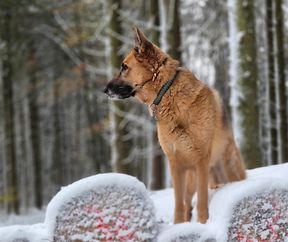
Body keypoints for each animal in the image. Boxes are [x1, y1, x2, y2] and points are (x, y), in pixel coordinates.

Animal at [103, 26, 245, 223]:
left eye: (124, 67)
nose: (104, 90)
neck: (168, 92)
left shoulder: (201, 161)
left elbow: (202, 203)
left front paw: (203, 223)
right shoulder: (175, 164)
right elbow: (179, 205)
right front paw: (180, 225)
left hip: (226, 169)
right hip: (192, 177)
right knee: (187, 204)